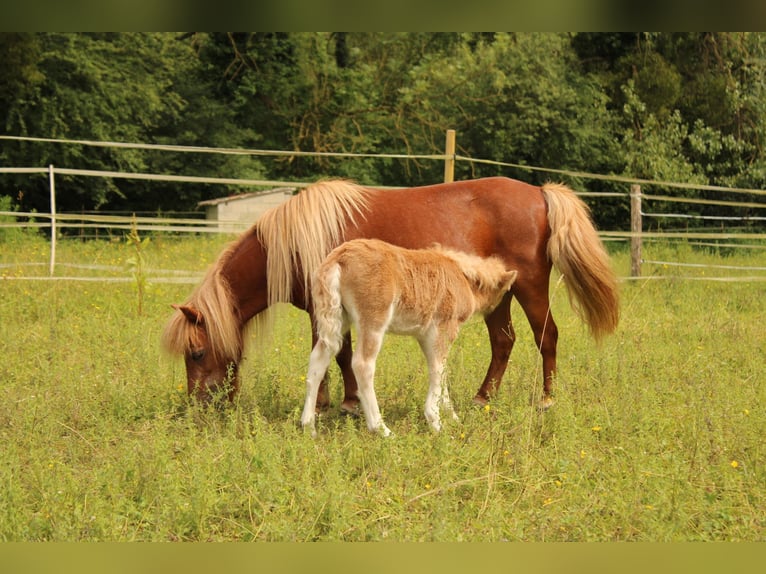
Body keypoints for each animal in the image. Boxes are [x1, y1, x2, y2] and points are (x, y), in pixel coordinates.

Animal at [162, 178, 616, 412]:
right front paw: (345, 402)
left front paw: (334, 404)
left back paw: (546, 401)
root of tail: (539, 192)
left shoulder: (324, 310)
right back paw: (482, 398)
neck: (296, 242)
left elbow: (333, 354)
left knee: (546, 337)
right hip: (498, 296)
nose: (199, 406)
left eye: (197, 353)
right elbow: (338, 355)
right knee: (504, 342)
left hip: (531, 287)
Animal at [304, 237, 520, 436]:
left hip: (339, 318)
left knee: (319, 358)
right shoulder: (444, 328)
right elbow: (438, 369)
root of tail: (338, 258)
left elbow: (441, 369)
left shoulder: (424, 335)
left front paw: (452, 416)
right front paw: (437, 423)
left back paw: (308, 426)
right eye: (505, 293)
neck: (462, 276)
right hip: (373, 319)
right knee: (362, 364)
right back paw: (381, 429)